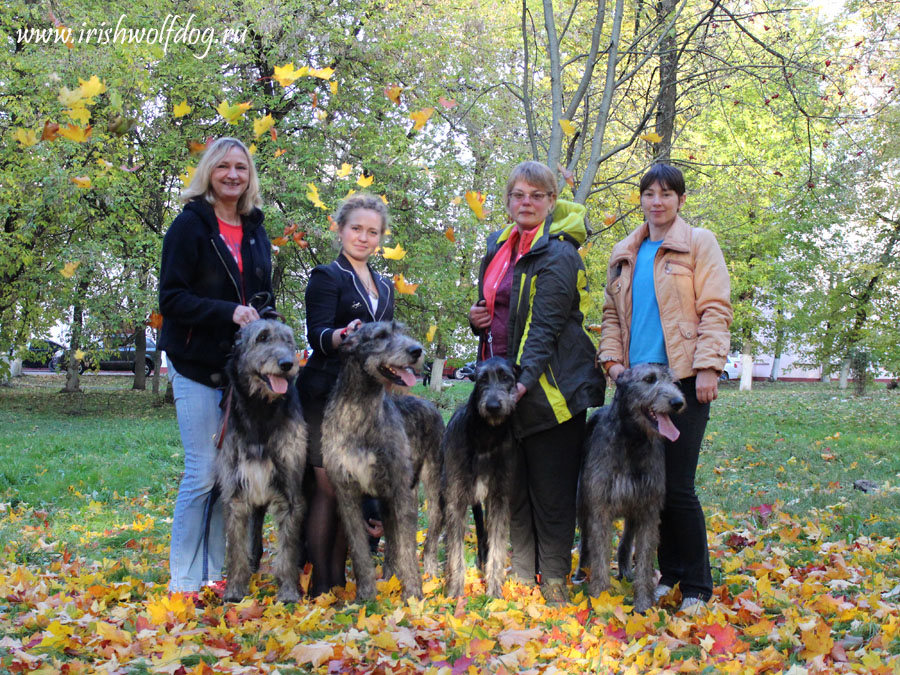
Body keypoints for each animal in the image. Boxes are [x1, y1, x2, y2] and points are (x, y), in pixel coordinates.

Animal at [216, 320, 308, 604]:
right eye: (262, 338)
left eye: (289, 341)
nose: (288, 364)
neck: (261, 410)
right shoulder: (234, 493)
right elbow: (235, 549)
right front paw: (235, 590)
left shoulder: (290, 493)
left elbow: (288, 551)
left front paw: (288, 591)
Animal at [580, 364, 684, 612]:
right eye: (649, 379)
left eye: (674, 382)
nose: (678, 402)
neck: (633, 439)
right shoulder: (599, 507)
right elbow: (599, 554)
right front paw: (600, 597)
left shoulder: (649, 509)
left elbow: (645, 559)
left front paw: (644, 604)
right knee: (585, 540)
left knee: (626, 541)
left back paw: (625, 570)